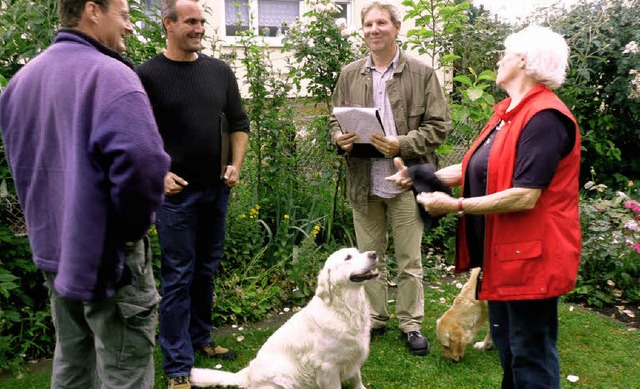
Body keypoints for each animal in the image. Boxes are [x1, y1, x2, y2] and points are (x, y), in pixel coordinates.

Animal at [192, 247, 378, 386]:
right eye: (348, 257)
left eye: (358, 251)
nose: (374, 254)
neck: (346, 308)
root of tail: (248, 373)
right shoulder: (328, 369)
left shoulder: (353, 358)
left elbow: (357, 380)